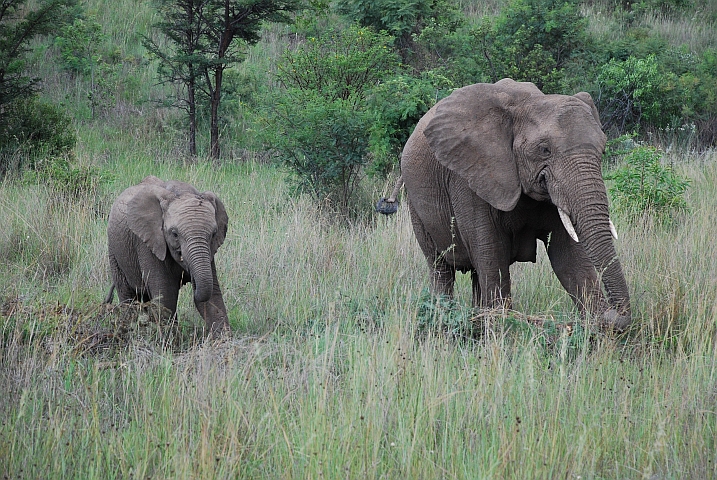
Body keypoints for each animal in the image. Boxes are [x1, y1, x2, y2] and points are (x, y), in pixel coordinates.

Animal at [105, 175, 229, 334]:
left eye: (213, 234)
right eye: (174, 234)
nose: (191, 279)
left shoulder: (209, 251)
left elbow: (213, 297)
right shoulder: (148, 243)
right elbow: (166, 296)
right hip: (114, 251)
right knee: (129, 297)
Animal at [384, 79, 628, 332]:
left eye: (603, 149)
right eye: (544, 150)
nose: (613, 314)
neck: (528, 103)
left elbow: (568, 257)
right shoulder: (471, 175)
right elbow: (492, 253)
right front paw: (501, 326)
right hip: (415, 202)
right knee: (441, 267)